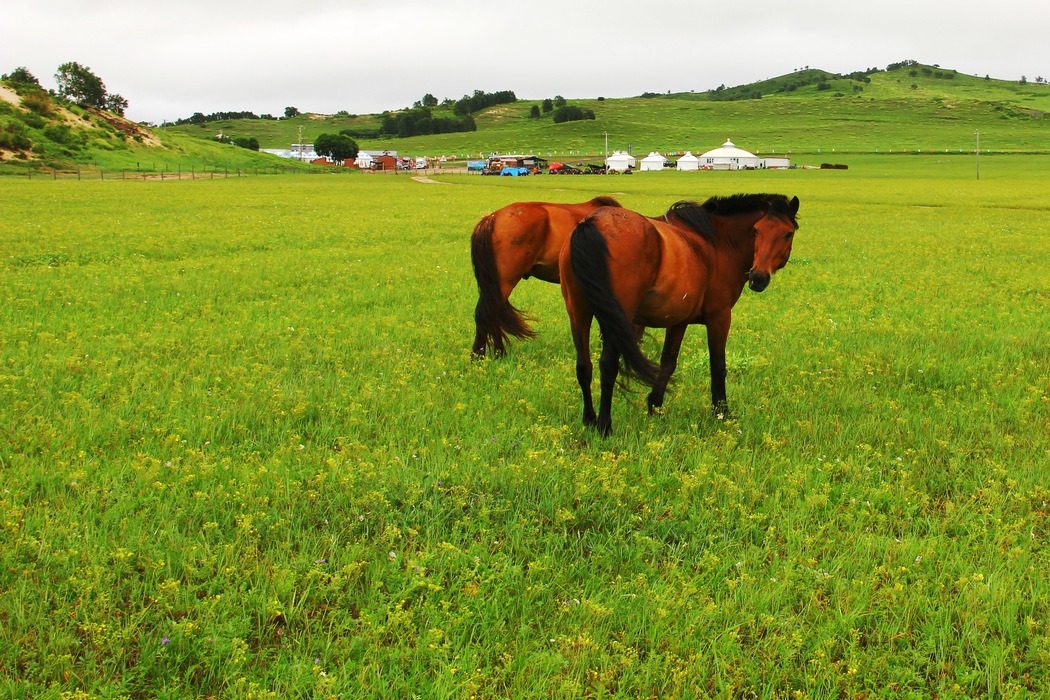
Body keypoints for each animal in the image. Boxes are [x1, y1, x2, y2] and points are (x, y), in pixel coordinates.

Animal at [562, 192, 797, 432]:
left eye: (787, 233)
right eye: (757, 230)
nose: (758, 277)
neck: (718, 243)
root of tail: (593, 223)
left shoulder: (678, 321)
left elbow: (668, 362)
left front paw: (655, 406)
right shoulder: (719, 318)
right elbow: (718, 366)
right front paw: (722, 412)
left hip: (579, 314)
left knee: (584, 366)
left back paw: (589, 419)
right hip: (617, 320)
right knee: (608, 366)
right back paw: (604, 425)